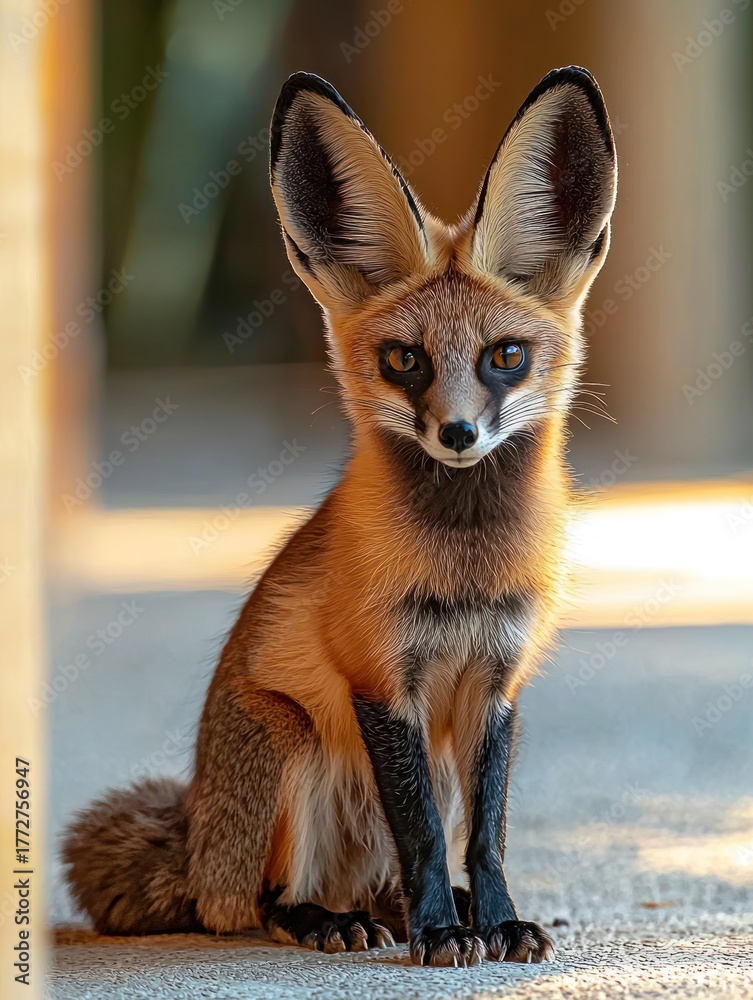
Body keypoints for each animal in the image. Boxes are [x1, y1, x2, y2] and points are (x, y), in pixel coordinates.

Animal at [63, 66, 617, 967]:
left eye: (504, 356)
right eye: (404, 360)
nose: (457, 435)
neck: (463, 570)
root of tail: (196, 848)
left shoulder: (496, 684)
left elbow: (484, 837)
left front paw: (495, 921)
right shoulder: (379, 681)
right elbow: (422, 832)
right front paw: (442, 935)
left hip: (410, 762)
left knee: (383, 879)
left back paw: (422, 911)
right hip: (292, 743)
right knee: (260, 902)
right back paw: (332, 920)